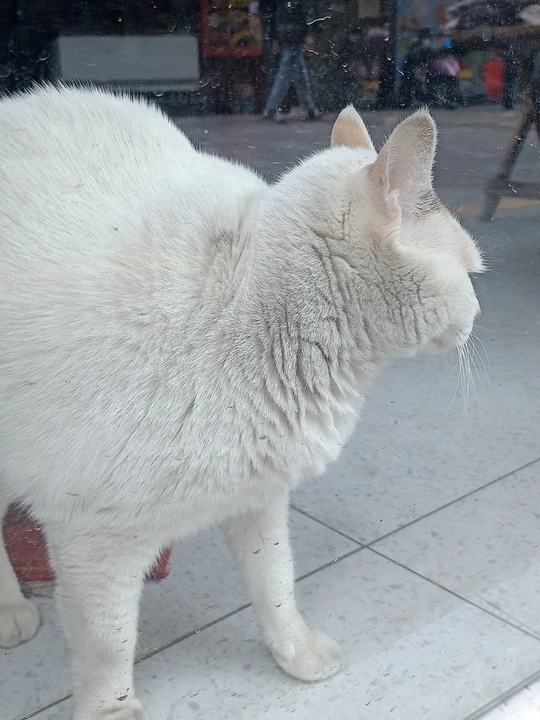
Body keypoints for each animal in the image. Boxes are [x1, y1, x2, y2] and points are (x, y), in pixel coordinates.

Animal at [0, 86, 483, 720]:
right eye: (471, 271)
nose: (481, 310)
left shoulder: (260, 497)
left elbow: (275, 582)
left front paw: (296, 653)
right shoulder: (93, 544)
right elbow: (109, 648)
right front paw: (112, 710)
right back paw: (11, 610)